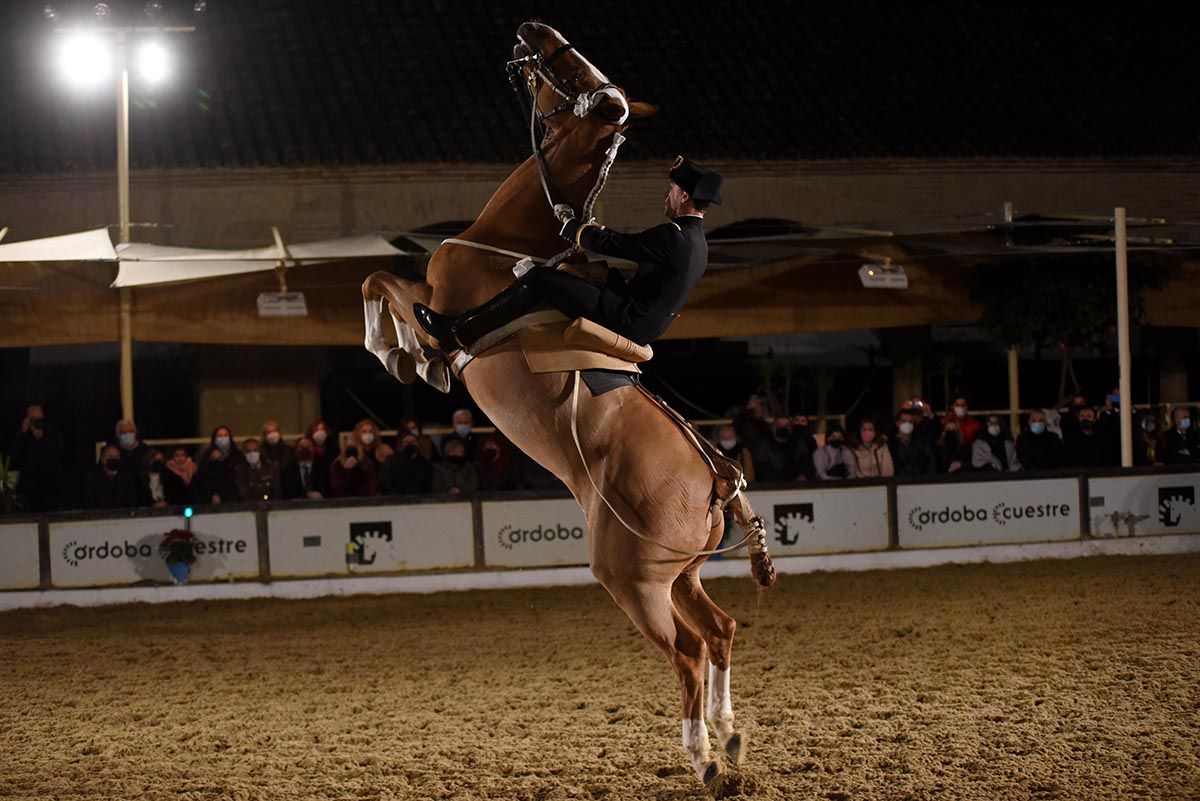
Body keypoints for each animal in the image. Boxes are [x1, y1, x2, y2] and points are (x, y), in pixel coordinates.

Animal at [362, 21, 777, 786]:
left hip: (634, 584)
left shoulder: (441, 300)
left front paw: (402, 350)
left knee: (688, 653)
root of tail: (718, 479)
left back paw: (703, 755)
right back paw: (728, 735)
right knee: (722, 631)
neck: (513, 242)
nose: (537, 30)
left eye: (583, 75)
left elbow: (385, 286)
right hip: (679, 575)